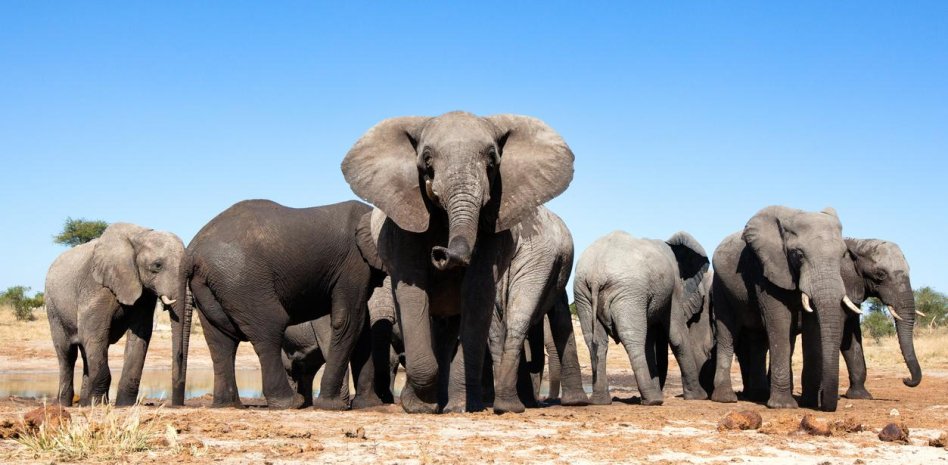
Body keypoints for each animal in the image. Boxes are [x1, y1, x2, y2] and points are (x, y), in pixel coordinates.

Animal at [45, 223, 186, 406]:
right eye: (157, 265)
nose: (178, 403)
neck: (139, 235)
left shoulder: (143, 292)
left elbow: (140, 335)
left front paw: (124, 405)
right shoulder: (96, 286)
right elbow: (94, 334)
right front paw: (98, 403)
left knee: (85, 351)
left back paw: (84, 403)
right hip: (53, 307)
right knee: (67, 353)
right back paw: (66, 404)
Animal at [172, 199, 384, 410]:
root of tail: (191, 252)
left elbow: (363, 327)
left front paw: (369, 404)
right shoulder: (354, 262)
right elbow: (348, 320)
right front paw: (332, 405)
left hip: (211, 284)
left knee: (221, 340)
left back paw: (229, 405)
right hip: (242, 279)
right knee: (269, 329)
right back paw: (291, 403)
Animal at [341, 111, 575, 413]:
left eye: (492, 159)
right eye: (427, 159)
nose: (441, 253)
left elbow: (476, 293)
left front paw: (459, 407)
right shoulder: (403, 224)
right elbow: (413, 292)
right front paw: (420, 407)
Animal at [573, 230, 711, 406]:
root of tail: (596, 274)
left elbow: (650, 342)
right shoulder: (674, 290)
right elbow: (677, 336)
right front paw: (699, 397)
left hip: (583, 293)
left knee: (595, 341)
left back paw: (601, 401)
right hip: (628, 292)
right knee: (633, 338)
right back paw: (653, 400)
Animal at [711, 206, 857, 412]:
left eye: (843, 255)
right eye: (799, 254)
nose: (824, 401)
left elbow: (813, 328)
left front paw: (809, 403)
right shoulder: (766, 269)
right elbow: (780, 322)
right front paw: (783, 406)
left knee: (758, 341)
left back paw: (759, 395)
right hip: (720, 287)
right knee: (727, 332)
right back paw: (726, 399)